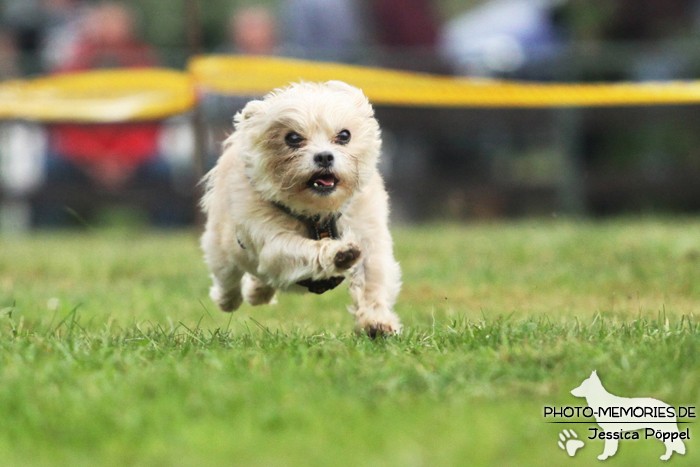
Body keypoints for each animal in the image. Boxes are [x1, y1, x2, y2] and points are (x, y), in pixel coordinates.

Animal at [200, 81, 402, 336]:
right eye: (293, 138)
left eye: (344, 135)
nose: (324, 156)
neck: (318, 211)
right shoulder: (273, 241)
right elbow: (305, 249)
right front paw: (338, 254)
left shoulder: (370, 237)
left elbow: (372, 283)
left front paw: (377, 322)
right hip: (221, 251)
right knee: (227, 281)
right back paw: (227, 299)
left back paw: (257, 291)